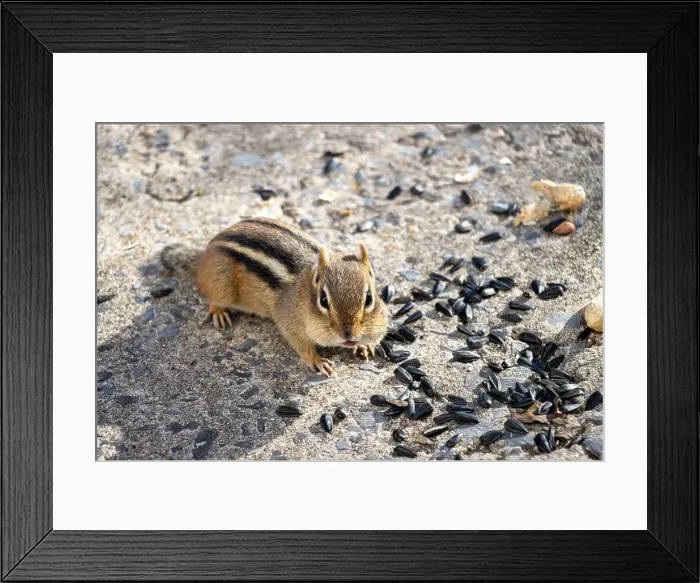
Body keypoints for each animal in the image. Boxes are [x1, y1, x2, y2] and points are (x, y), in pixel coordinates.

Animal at [166, 217, 389, 376]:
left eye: (369, 299)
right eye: (323, 300)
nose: (348, 335)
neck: (303, 290)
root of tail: (204, 255)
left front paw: (365, 345)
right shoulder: (289, 321)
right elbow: (300, 344)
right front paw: (317, 360)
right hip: (221, 283)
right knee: (212, 297)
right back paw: (219, 312)